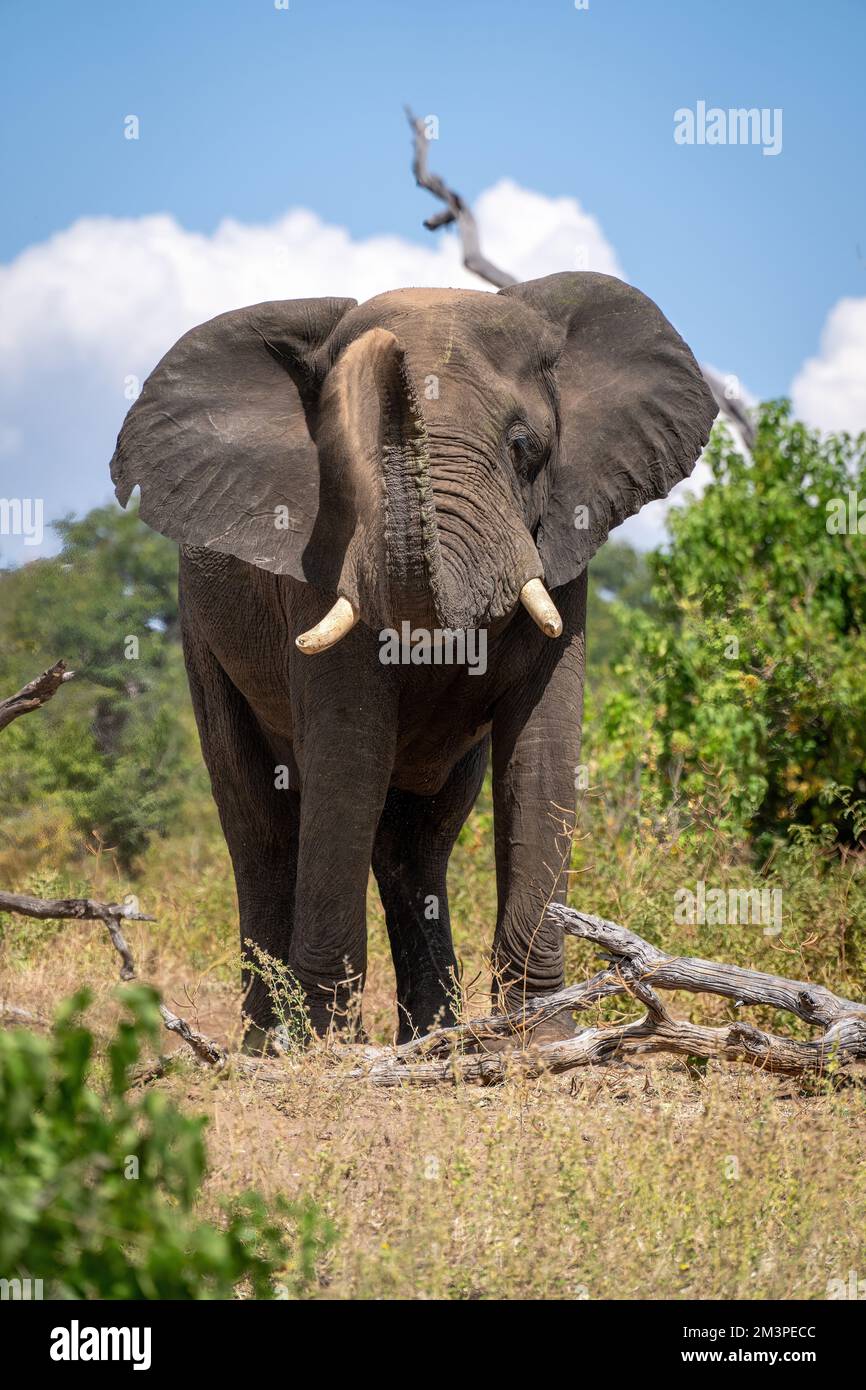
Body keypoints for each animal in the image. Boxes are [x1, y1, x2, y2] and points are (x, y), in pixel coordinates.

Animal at [110, 272, 717, 1044]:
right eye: (344, 456)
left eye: (524, 447)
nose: (384, 354)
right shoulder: (320, 560)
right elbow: (350, 752)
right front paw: (330, 1050)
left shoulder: (564, 544)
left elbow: (541, 748)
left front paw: (541, 1038)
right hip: (200, 632)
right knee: (262, 826)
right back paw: (268, 1045)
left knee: (417, 839)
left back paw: (430, 1039)